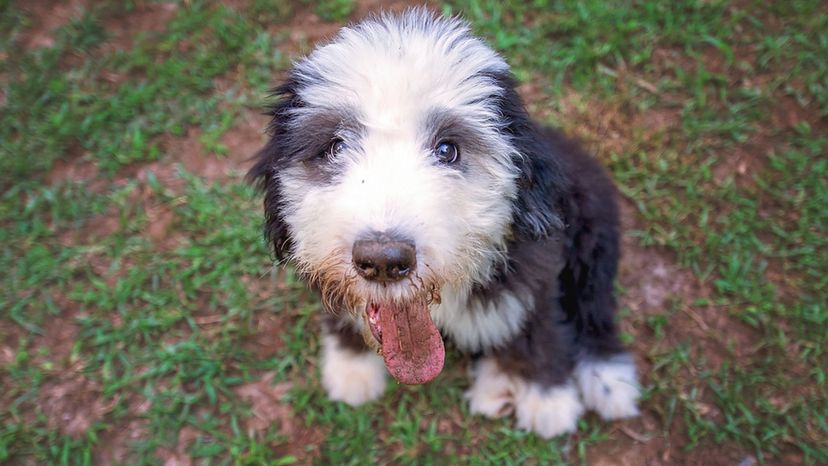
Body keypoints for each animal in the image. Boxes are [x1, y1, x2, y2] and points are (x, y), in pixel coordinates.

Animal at [246, 9, 640, 438]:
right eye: (335, 147)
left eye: (448, 149)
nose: (383, 261)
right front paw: (351, 368)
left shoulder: (536, 271)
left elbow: (541, 327)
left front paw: (547, 399)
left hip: (593, 231)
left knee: (594, 307)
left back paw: (607, 380)